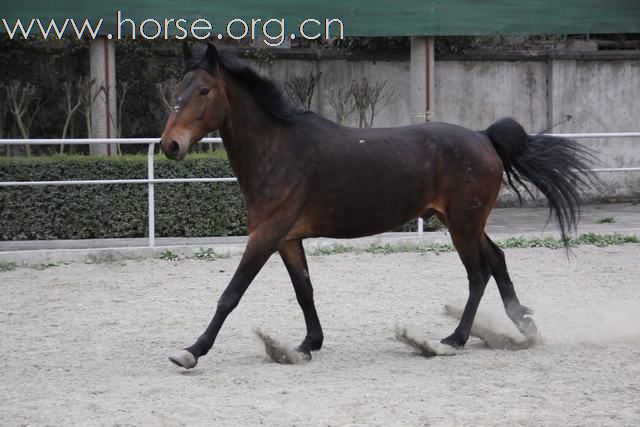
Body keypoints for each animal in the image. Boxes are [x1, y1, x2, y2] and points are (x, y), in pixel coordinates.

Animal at [159, 41, 596, 370]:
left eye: (204, 91)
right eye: (177, 90)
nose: (170, 145)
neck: (279, 149)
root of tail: (484, 137)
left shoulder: (265, 236)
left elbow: (231, 293)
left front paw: (191, 351)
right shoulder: (287, 239)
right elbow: (305, 290)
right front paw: (308, 344)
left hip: (462, 225)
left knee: (478, 274)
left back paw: (453, 339)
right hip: (463, 221)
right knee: (498, 260)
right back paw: (524, 326)